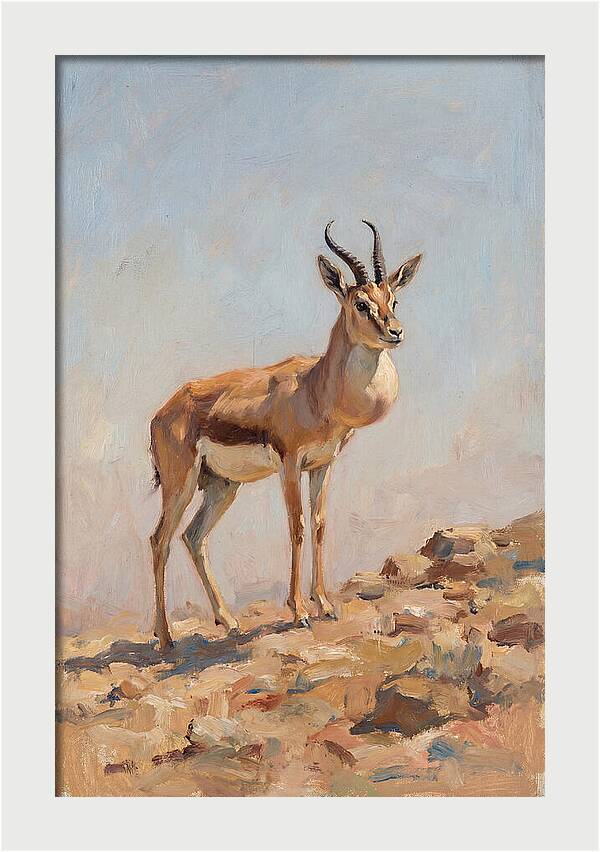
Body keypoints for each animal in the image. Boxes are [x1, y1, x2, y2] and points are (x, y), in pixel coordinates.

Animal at [149, 221, 422, 650]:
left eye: (392, 298)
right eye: (360, 303)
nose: (395, 332)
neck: (316, 389)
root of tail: (163, 412)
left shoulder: (323, 465)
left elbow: (320, 525)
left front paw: (325, 604)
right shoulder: (290, 464)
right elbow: (296, 527)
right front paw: (299, 612)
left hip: (221, 486)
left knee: (193, 537)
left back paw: (229, 622)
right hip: (181, 483)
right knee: (159, 540)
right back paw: (165, 638)